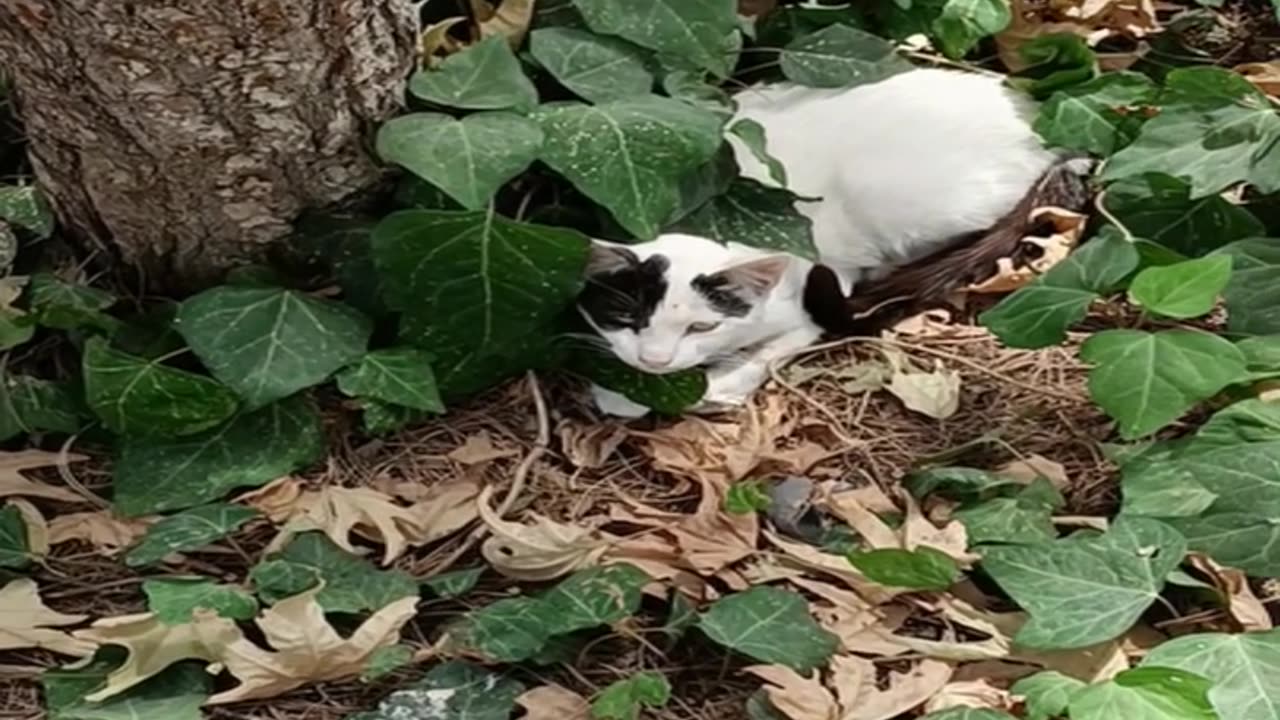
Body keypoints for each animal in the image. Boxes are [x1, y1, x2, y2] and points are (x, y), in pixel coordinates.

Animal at [581, 68, 1080, 415]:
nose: (656, 360)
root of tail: (1034, 121)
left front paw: (718, 386)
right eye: (628, 317)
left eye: (701, 326)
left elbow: (773, 350)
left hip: (902, 195)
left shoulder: (806, 301)